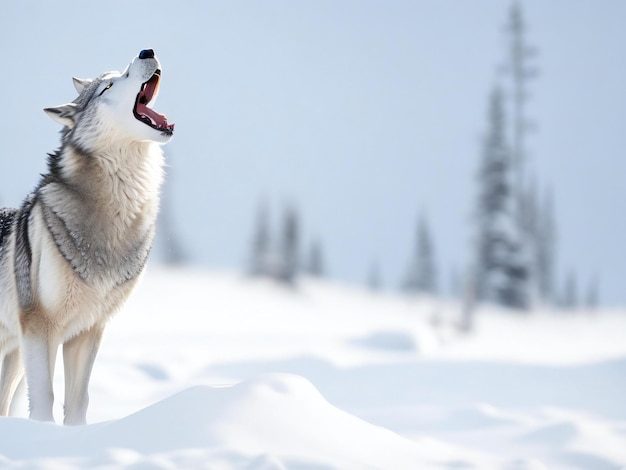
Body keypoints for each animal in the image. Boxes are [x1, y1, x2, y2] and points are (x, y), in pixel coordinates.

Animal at [0, 49, 173, 424]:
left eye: (120, 73)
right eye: (108, 85)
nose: (147, 51)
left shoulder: (88, 331)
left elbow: (79, 402)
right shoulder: (39, 328)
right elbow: (44, 399)